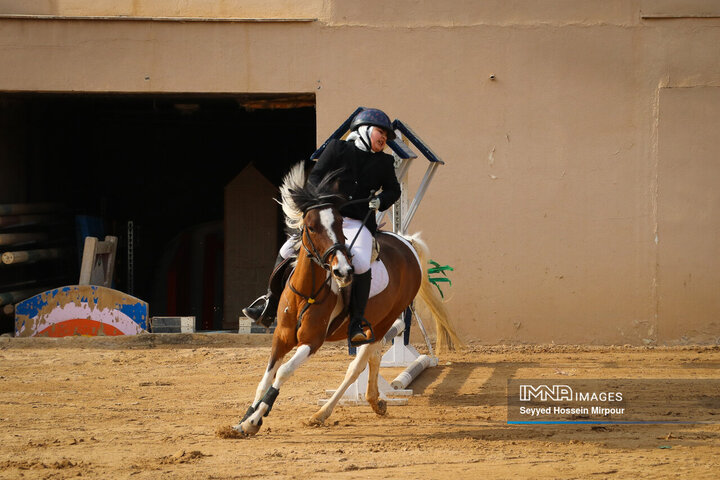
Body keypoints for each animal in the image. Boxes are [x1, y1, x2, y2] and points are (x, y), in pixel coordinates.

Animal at [236, 162, 462, 436]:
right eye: (311, 226)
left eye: (340, 224)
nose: (342, 271)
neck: (308, 291)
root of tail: (406, 242)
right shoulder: (282, 335)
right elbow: (266, 377)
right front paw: (245, 417)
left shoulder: (312, 341)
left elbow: (283, 373)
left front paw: (255, 419)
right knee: (373, 358)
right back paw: (375, 401)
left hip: (385, 321)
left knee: (357, 367)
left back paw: (323, 413)